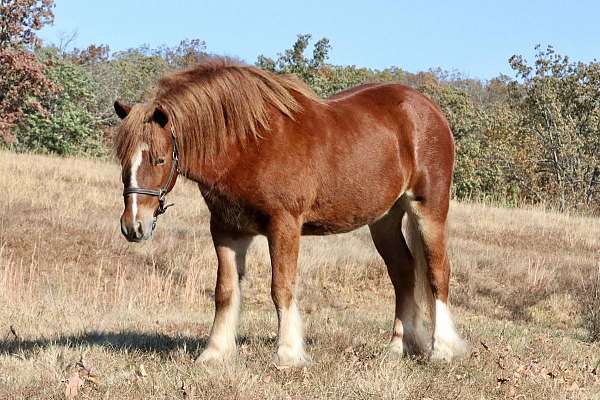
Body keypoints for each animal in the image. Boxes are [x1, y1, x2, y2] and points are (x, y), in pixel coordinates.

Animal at [113, 57, 468, 368]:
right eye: (123, 159)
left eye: (159, 159)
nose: (134, 226)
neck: (248, 144)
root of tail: (429, 110)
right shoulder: (227, 229)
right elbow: (225, 292)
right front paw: (214, 353)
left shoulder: (283, 225)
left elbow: (281, 287)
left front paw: (287, 354)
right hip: (384, 220)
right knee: (403, 272)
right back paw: (397, 347)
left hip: (428, 209)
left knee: (437, 272)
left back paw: (442, 349)